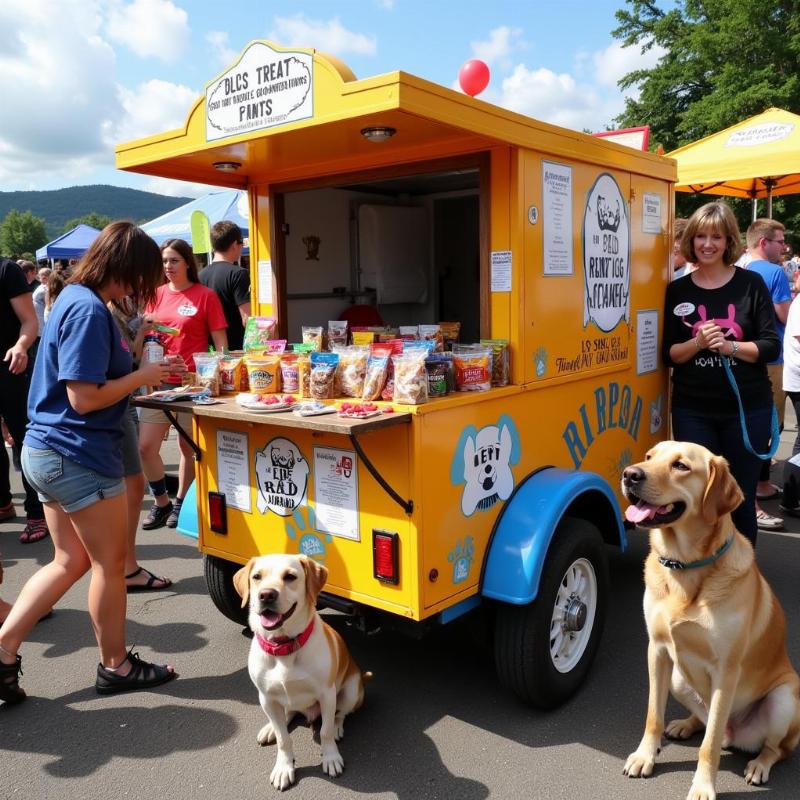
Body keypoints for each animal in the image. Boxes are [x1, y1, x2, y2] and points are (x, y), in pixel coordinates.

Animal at [231, 552, 368, 792]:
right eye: (257, 577)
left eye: (290, 576)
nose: (266, 595)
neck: (283, 647)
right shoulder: (265, 697)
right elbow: (283, 739)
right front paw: (284, 767)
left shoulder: (326, 694)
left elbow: (325, 731)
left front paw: (330, 757)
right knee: (288, 714)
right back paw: (270, 728)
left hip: (351, 690)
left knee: (340, 714)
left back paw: (338, 725)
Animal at [620, 440, 800, 796]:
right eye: (649, 457)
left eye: (681, 466)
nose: (630, 474)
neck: (684, 568)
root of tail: (737, 734)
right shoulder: (657, 650)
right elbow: (653, 716)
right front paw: (645, 756)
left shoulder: (726, 671)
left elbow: (711, 743)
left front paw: (703, 786)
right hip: (677, 677)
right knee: (704, 721)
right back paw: (685, 724)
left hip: (784, 698)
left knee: (774, 748)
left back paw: (759, 764)